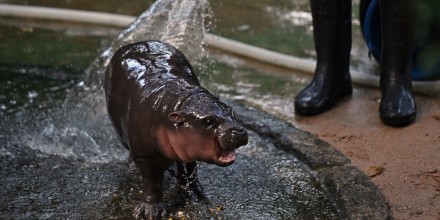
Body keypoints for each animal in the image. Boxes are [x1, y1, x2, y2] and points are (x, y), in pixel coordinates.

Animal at [103, 40, 248, 219]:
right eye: (208, 121)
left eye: (231, 110)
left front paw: (194, 196)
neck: (180, 102)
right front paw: (150, 212)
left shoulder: (188, 148)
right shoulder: (145, 155)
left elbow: (189, 171)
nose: (239, 131)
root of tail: (136, 43)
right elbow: (152, 182)